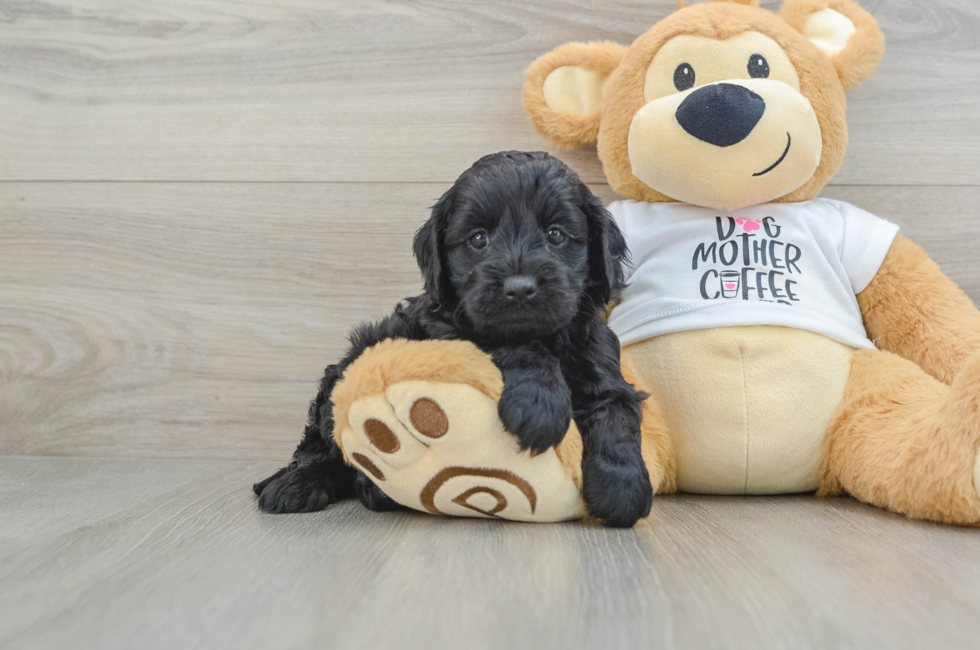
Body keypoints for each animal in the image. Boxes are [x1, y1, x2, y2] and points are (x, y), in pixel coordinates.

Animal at [253, 152, 656, 528]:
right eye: (478, 239)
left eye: (556, 234)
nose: (519, 288)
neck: (547, 335)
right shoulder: (450, 329)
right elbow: (513, 347)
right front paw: (539, 407)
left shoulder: (602, 361)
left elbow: (617, 413)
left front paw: (623, 489)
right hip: (342, 375)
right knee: (324, 448)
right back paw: (297, 485)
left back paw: (371, 490)